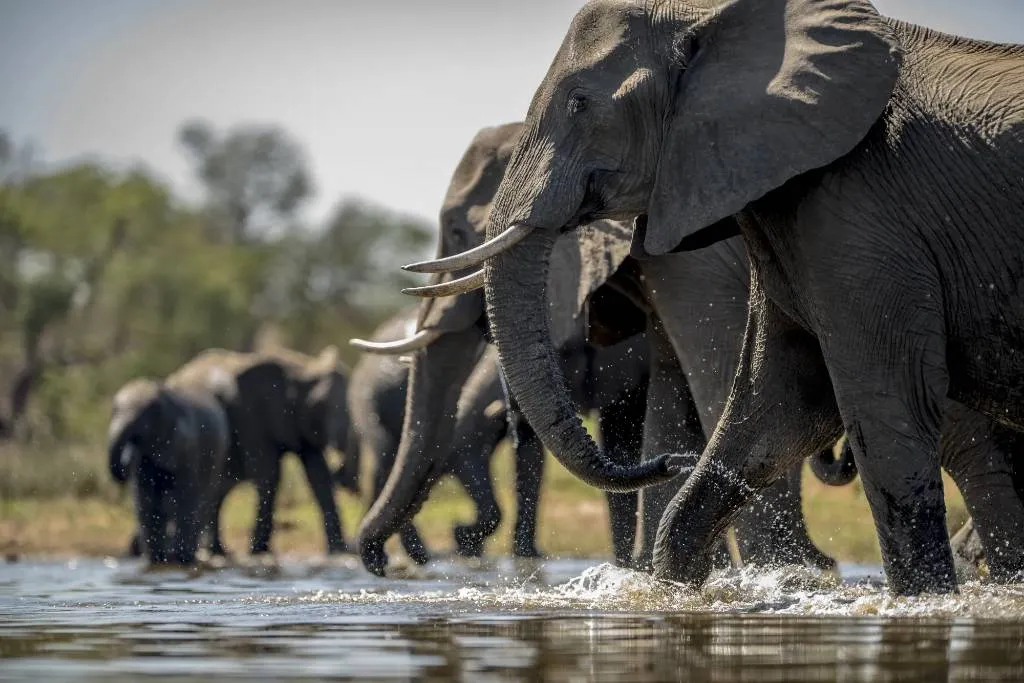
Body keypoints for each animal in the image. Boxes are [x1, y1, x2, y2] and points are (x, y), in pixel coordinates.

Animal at [107, 376, 229, 565]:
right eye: (113, 411)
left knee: (203, 502)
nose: (125, 462)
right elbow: (146, 501)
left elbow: (186, 498)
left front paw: (181, 559)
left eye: (142, 418)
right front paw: (155, 560)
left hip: (217, 457)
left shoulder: (187, 446)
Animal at [167, 348, 352, 557]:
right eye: (320, 404)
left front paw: (339, 552)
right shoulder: (252, 414)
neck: (301, 368)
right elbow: (268, 473)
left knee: (217, 490)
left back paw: (219, 552)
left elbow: (319, 476)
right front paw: (259, 552)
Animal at [411, 2, 1024, 593]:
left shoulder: (856, 214)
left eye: (579, 103)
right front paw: (678, 587)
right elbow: (774, 404)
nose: (669, 464)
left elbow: (878, 404)